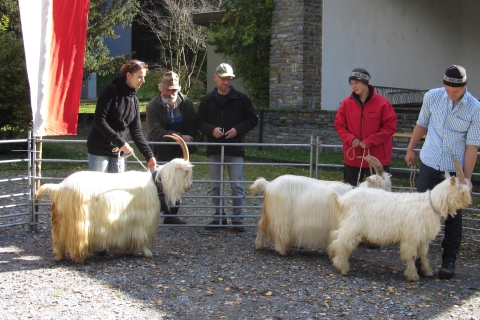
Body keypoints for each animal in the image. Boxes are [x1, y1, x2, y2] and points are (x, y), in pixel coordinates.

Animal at [36, 134, 192, 262]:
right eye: (187, 172)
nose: (190, 186)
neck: (156, 184)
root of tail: (59, 187)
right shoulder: (142, 221)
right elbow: (142, 237)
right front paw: (147, 252)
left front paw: (129, 250)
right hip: (77, 222)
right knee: (76, 240)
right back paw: (78, 257)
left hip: (59, 222)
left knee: (58, 240)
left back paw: (60, 256)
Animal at [249, 155, 392, 255]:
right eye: (380, 186)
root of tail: (269, 184)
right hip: (281, 217)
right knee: (276, 232)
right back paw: (281, 251)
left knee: (261, 226)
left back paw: (259, 246)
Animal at [328, 159, 470, 282]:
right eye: (462, 191)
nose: (468, 203)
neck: (431, 203)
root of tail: (342, 199)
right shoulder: (412, 236)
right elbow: (412, 256)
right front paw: (412, 275)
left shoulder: (423, 238)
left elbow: (423, 255)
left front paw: (428, 271)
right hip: (353, 225)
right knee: (342, 241)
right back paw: (342, 267)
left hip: (348, 224)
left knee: (336, 237)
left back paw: (333, 255)